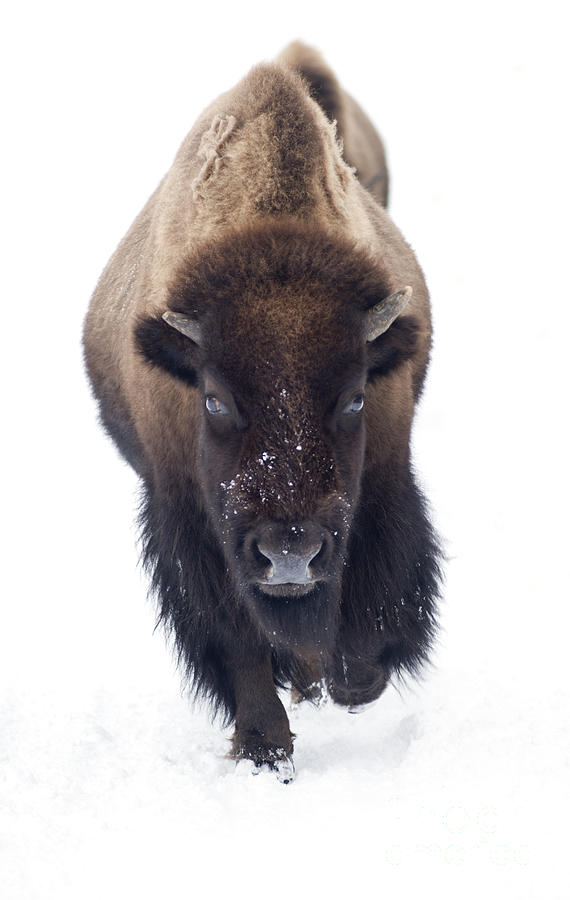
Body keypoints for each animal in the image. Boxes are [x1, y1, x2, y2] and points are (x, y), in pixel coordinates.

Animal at [83, 42, 440, 780]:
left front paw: (352, 684)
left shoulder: (383, 479)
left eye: (355, 395)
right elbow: (237, 636)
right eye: (214, 398)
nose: (290, 553)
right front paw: (264, 749)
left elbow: (369, 607)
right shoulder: (191, 517)